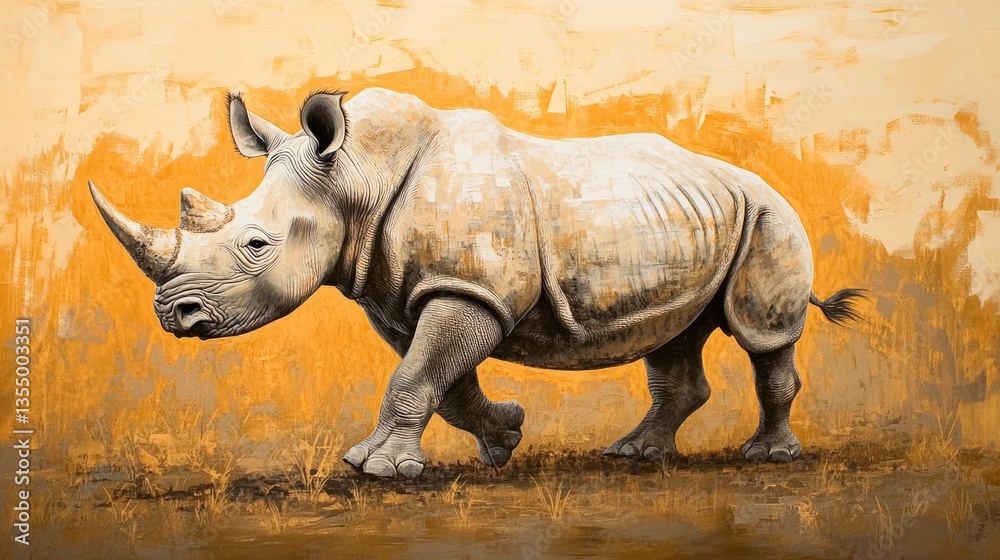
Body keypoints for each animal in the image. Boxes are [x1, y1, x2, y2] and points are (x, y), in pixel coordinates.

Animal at [89, 87, 863, 477]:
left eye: (256, 245)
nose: (176, 315)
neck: (354, 178)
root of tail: (756, 180)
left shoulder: (467, 288)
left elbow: (416, 375)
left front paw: (378, 471)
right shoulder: (418, 293)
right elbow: (442, 379)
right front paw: (503, 438)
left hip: (769, 217)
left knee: (763, 334)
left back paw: (768, 457)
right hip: (690, 222)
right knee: (673, 337)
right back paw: (635, 455)